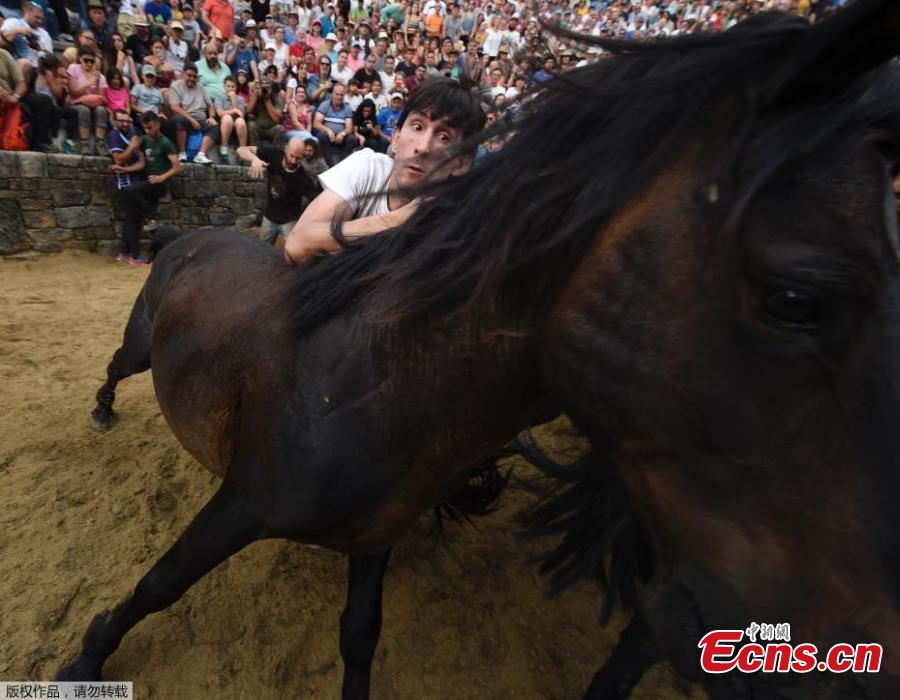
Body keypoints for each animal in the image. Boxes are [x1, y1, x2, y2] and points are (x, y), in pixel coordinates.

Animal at [59, 0, 900, 697]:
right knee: (115, 368)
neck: (373, 384)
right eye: (794, 298)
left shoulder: (376, 531)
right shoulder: (242, 503)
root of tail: (190, 234)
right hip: (143, 342)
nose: (861, 659)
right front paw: (88, 655)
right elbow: (161, 583)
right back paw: (99, 411)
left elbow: (359, 637)